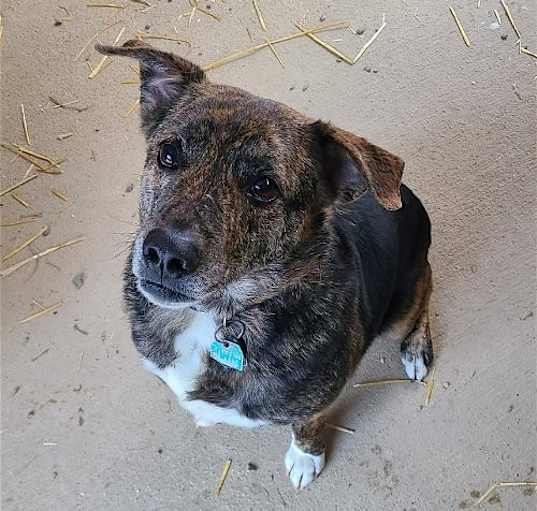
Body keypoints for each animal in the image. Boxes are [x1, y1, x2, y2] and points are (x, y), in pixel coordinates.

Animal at [96, 40, 434, 488]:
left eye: (263, 187)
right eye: (168, 154)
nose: (164, 254)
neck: (215, 317)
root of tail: (406, 194)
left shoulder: (316, 402)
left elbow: (307, 425)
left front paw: (305, 458)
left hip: (404, 301)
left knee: (426, 294)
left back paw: (415, 350)